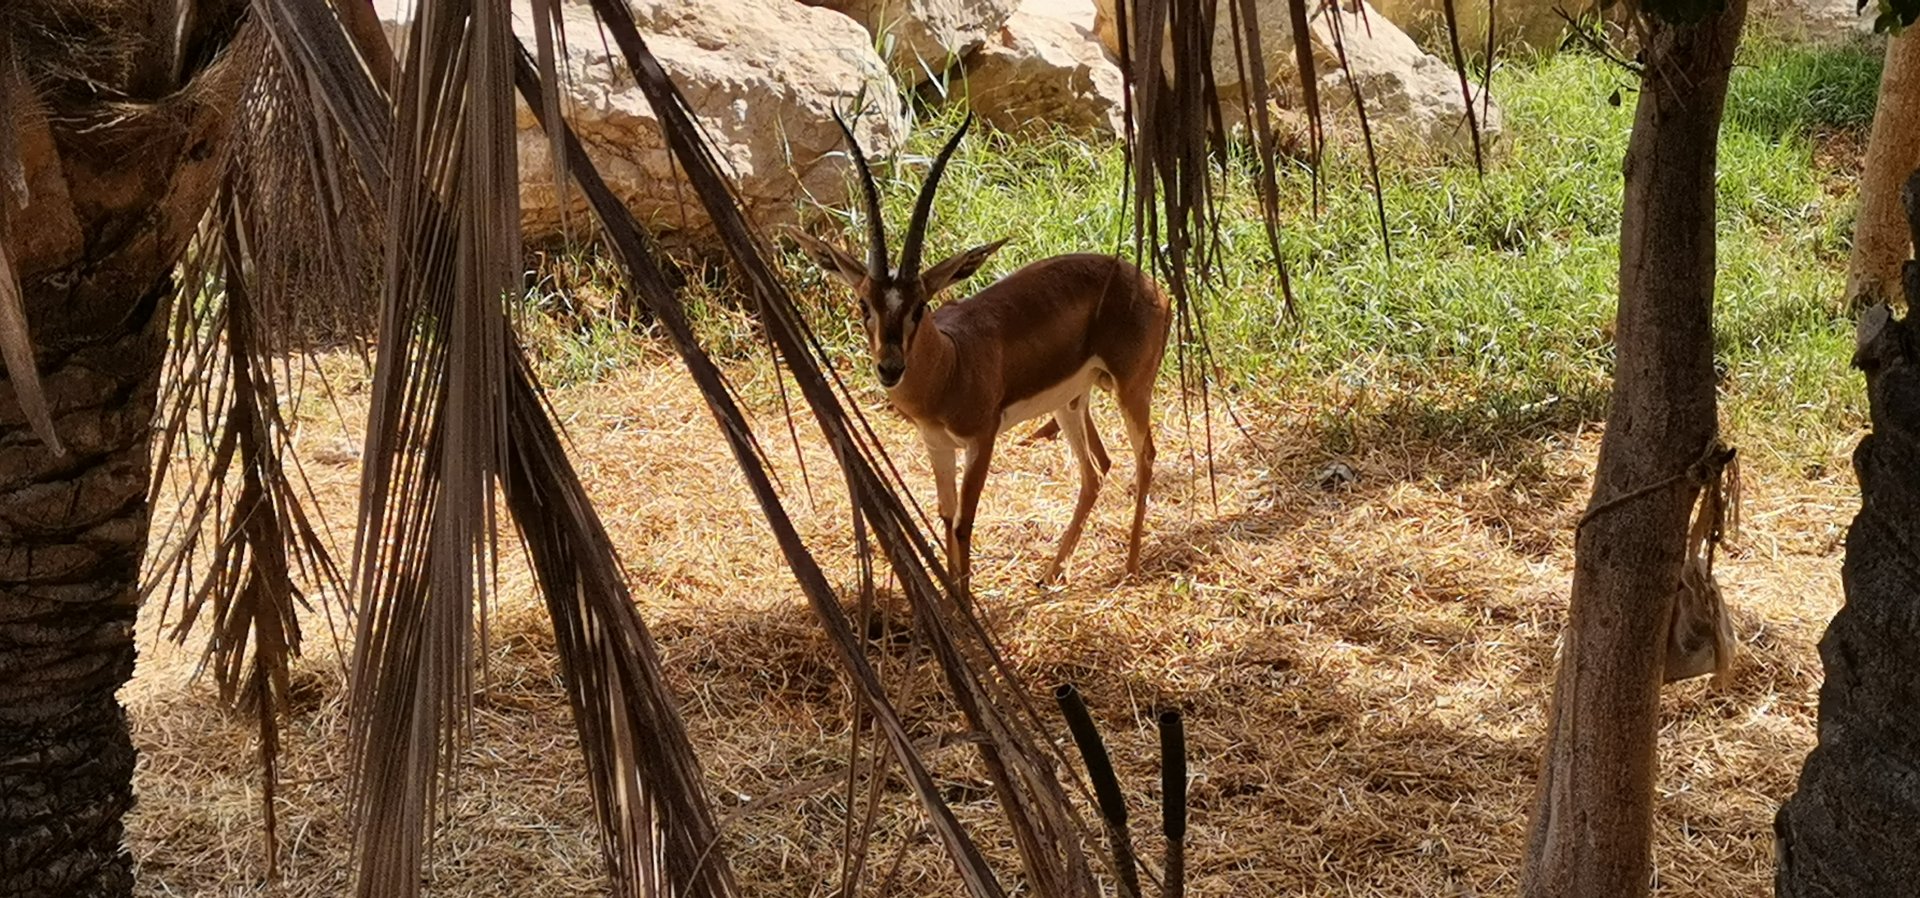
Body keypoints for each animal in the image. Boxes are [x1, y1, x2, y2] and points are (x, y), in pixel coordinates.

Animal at [792, 114, 1171, 586]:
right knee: (1096, 469)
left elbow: (964, 522)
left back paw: (1131, 565)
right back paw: (1051, 573)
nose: (890, 367)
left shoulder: (981, 440)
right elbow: (944, 515)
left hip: (1130, 389)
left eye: (920, 305)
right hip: (1070, 401)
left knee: (1145, 456)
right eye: (864, 305)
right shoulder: (936, 444)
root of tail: (1150, 285)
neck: (950, 365)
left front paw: (967, 600)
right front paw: (953, 594)